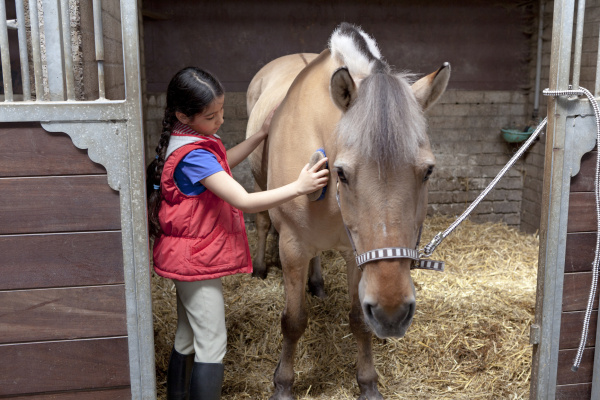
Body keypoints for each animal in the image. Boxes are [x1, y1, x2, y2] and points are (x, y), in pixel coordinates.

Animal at [245, 22, 450, 400]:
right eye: (341, 173)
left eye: (428, 170)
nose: (392, 311)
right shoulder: (292, 246)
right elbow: (293, 320)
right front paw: (282, 384)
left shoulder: (358, 254)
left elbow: (359, 321)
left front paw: (367, 383)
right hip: (260, 189)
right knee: (264, 223)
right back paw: (261, 268)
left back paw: (317, 283)